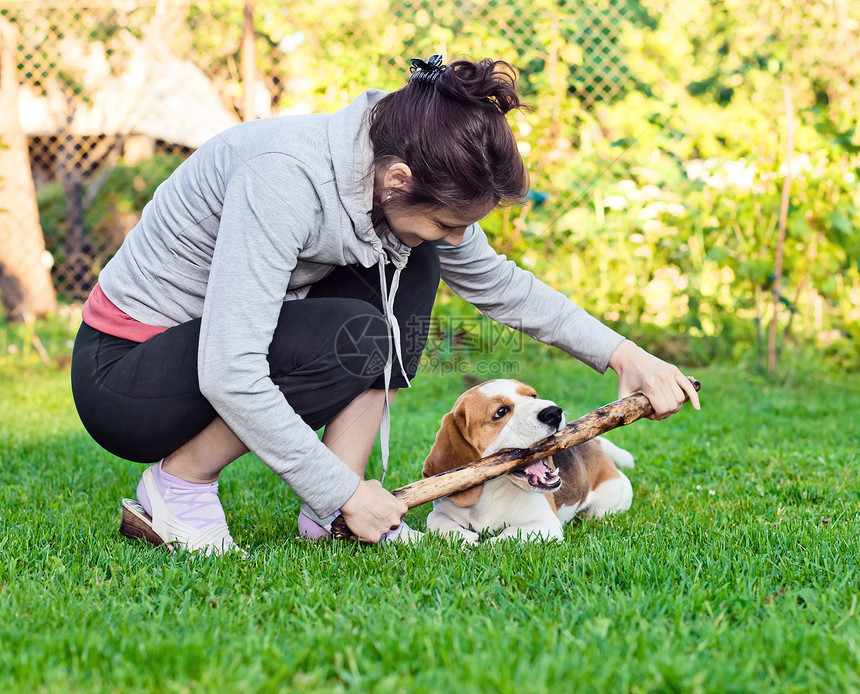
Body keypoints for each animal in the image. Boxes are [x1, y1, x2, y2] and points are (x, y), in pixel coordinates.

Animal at [420, 380, 636, 544]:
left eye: (533, 396)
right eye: (501, 411)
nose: (554, 412)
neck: (491, 493)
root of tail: (595, 444)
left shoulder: (546, 524)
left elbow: (506, 535)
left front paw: (485, 545)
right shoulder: (441, 509)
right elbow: (435, 520)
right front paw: (462, 537)